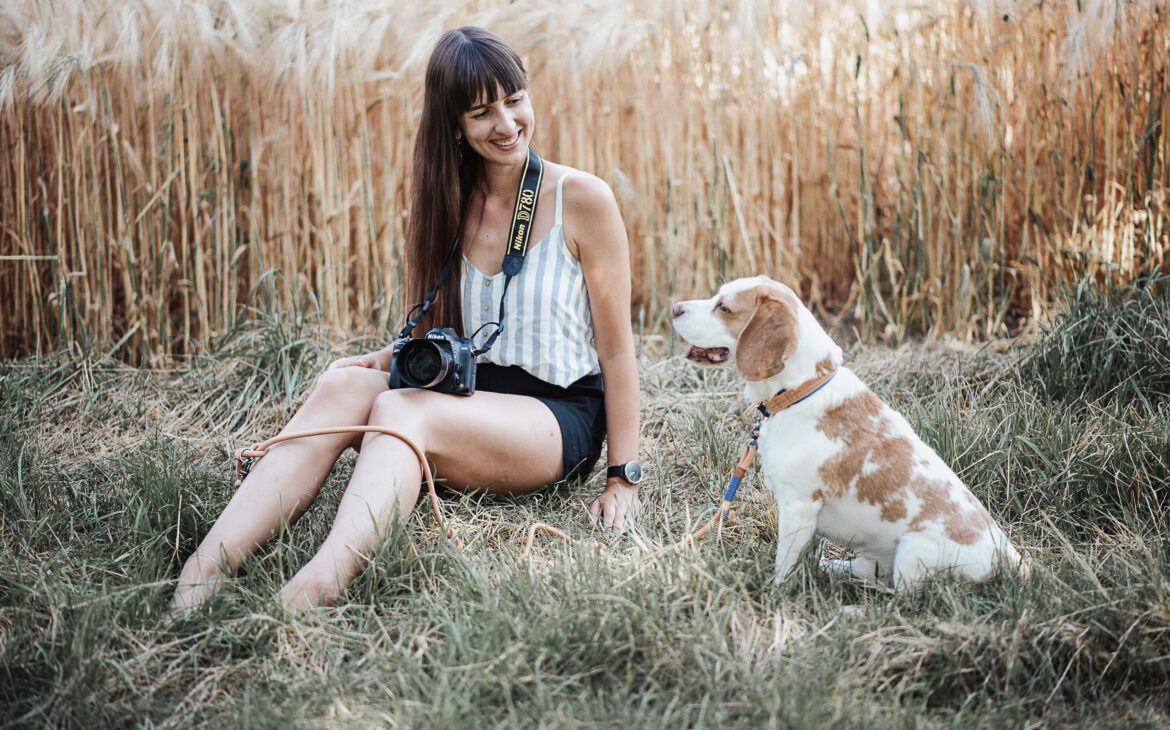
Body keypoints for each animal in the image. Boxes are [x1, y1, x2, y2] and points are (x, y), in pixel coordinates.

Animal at [673, 276, 1029, 589]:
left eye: (724, 308)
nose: (675, 307)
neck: (800, 389)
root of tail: (1013, 562)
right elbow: (805, 557)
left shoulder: (798, 507)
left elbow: (784, 567)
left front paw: (776, 598)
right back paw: (832, 569)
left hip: (912, 552)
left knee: (902, 601)